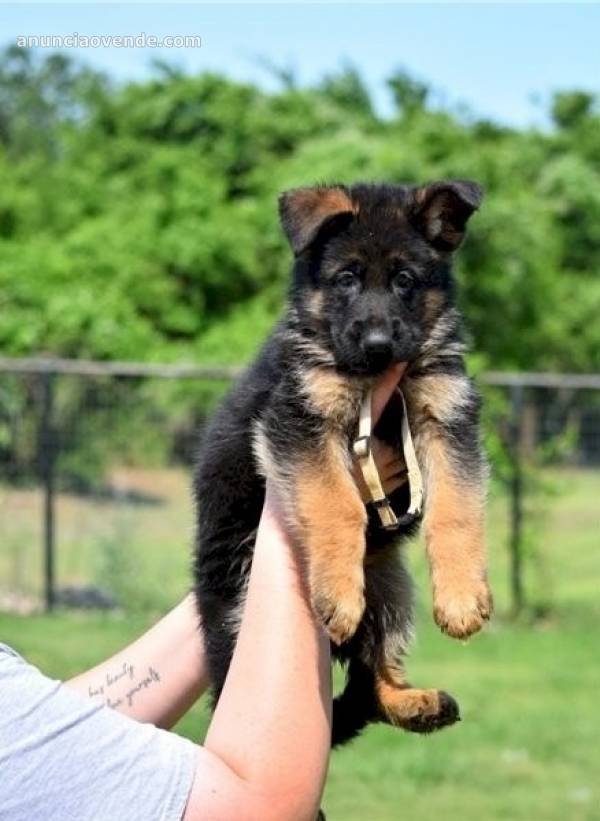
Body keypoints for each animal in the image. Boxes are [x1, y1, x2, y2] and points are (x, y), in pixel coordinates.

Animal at [195, 179, 494, 744]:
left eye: (404, 280)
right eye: (347, 279)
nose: (377, 344)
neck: (374, 378)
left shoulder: (447, 417)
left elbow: (457, 510)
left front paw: (463, 598)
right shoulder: (299, 422)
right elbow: (337, 505)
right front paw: (337, 592)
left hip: (391, 590)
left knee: (370, 679)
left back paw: (414, 703)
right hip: (241, 608)